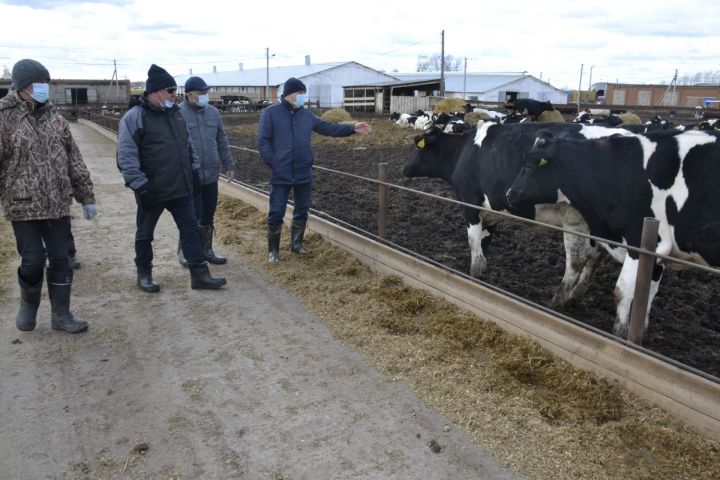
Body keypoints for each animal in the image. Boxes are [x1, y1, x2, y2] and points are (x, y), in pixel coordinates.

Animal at [404, 122, 636, 306]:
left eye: (417, 146)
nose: (405, 168)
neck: (463, 151)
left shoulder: (470, 203)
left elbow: (473, 242)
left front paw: (473, 273)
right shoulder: (491, 212)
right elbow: (484, 243)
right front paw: (481, 274)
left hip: (575, 220)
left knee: (577, 261)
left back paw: (557, 302)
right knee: (594, 258)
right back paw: (574, 297)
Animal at [506, 129, 720, 336]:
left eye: (528, 167)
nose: (509, 194)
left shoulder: (643, 242)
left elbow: (622, 291)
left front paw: (620, 334)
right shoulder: (659, 254)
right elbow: (648, 292)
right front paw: (640, 331)